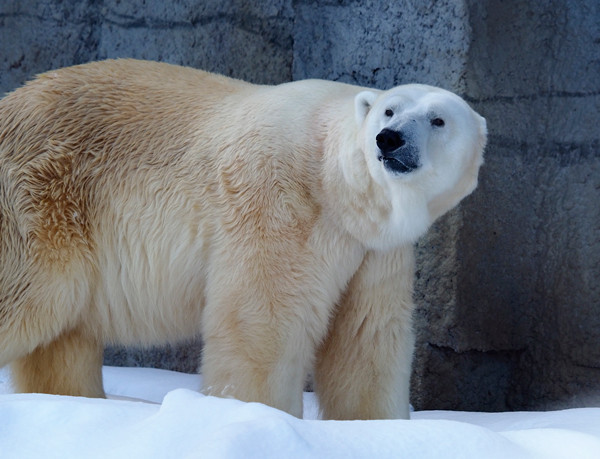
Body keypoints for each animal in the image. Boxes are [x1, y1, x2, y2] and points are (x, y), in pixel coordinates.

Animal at [0, 60, 482, 420]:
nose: (390, 140)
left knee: (63, 336)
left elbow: (366, 339)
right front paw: (258, 416)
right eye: (389, 110)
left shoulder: (374, 251)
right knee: (32, 295)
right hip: (39, 199)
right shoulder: (278, 199)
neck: (335, 185)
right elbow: (261, 321)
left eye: (438, 119)